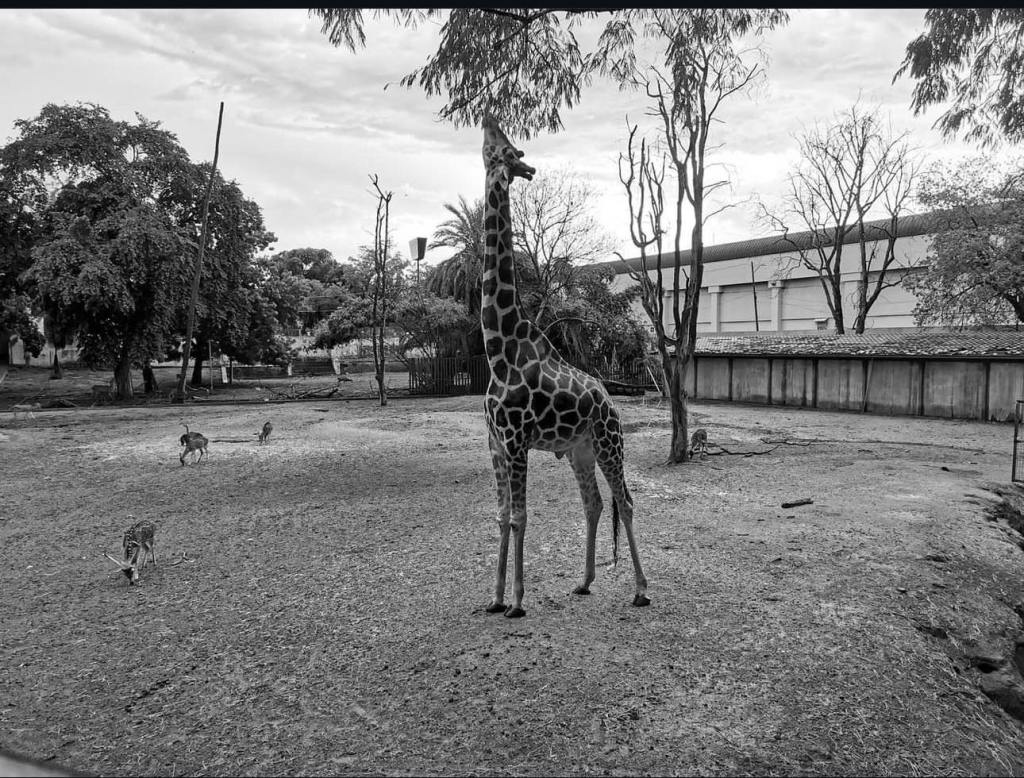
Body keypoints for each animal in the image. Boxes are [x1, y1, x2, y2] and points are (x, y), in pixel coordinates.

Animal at [477, 115, 647, 618]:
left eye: (512, 150)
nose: (529, 169)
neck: (499, 347)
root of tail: (610, 397)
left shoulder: (516, 442)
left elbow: (519, 516)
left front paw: (516, 602)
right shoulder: (494, 443)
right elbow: (501, 516)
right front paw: (495, 598)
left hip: (610, 442)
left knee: (626, 501)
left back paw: (641, 589)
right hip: (579, 449)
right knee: (594, 504)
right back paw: (585, 581)